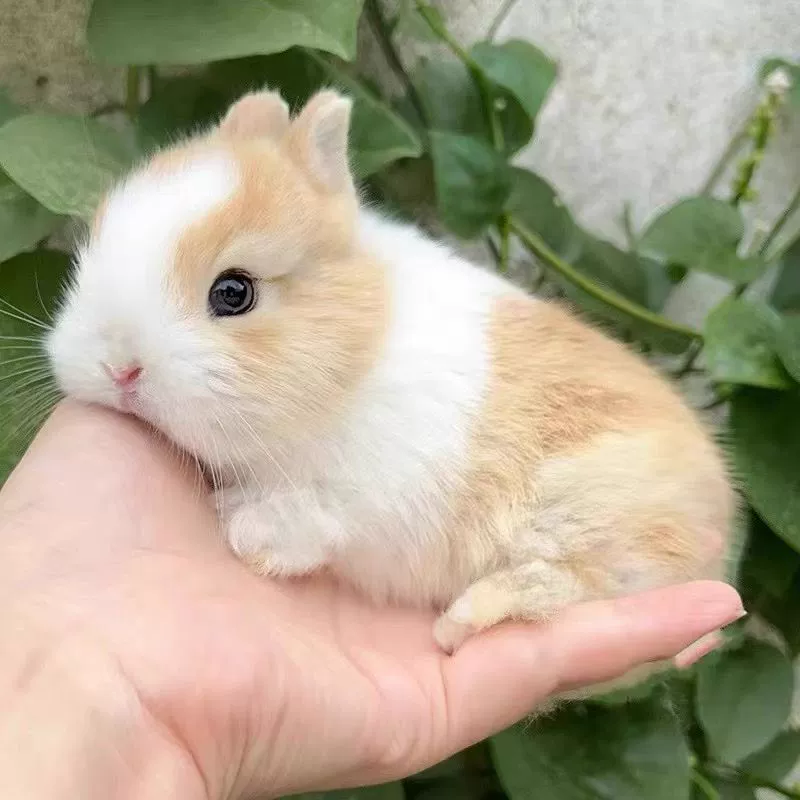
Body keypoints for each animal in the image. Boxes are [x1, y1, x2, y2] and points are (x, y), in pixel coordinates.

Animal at [47, 88, 735, 655]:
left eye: (234, 293)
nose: (120, 368)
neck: (360, 350)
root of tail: (719, 528)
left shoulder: (372, 491)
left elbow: (322, 519)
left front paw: (250, 531)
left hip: (586, 518)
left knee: (567, 580)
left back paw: (464, 620)